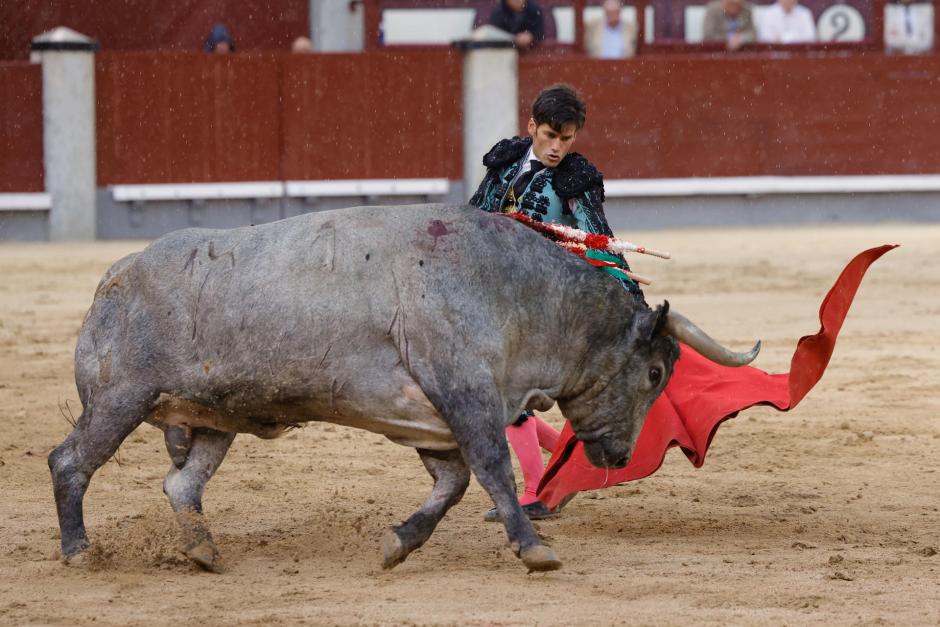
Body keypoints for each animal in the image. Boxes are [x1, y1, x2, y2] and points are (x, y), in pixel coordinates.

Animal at [49, 205, 756, 576]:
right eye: (656, 374)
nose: (618, 457)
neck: (520, 294)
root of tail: (111, 277)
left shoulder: (432, 419)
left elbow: (453, 484)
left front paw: (398, 542)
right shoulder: (465, 391)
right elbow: (492, 469)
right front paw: (533, 548)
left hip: (215, 419)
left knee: (181, 484)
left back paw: (203, 551)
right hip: (119, 399)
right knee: (69, 461)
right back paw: (79, 552)